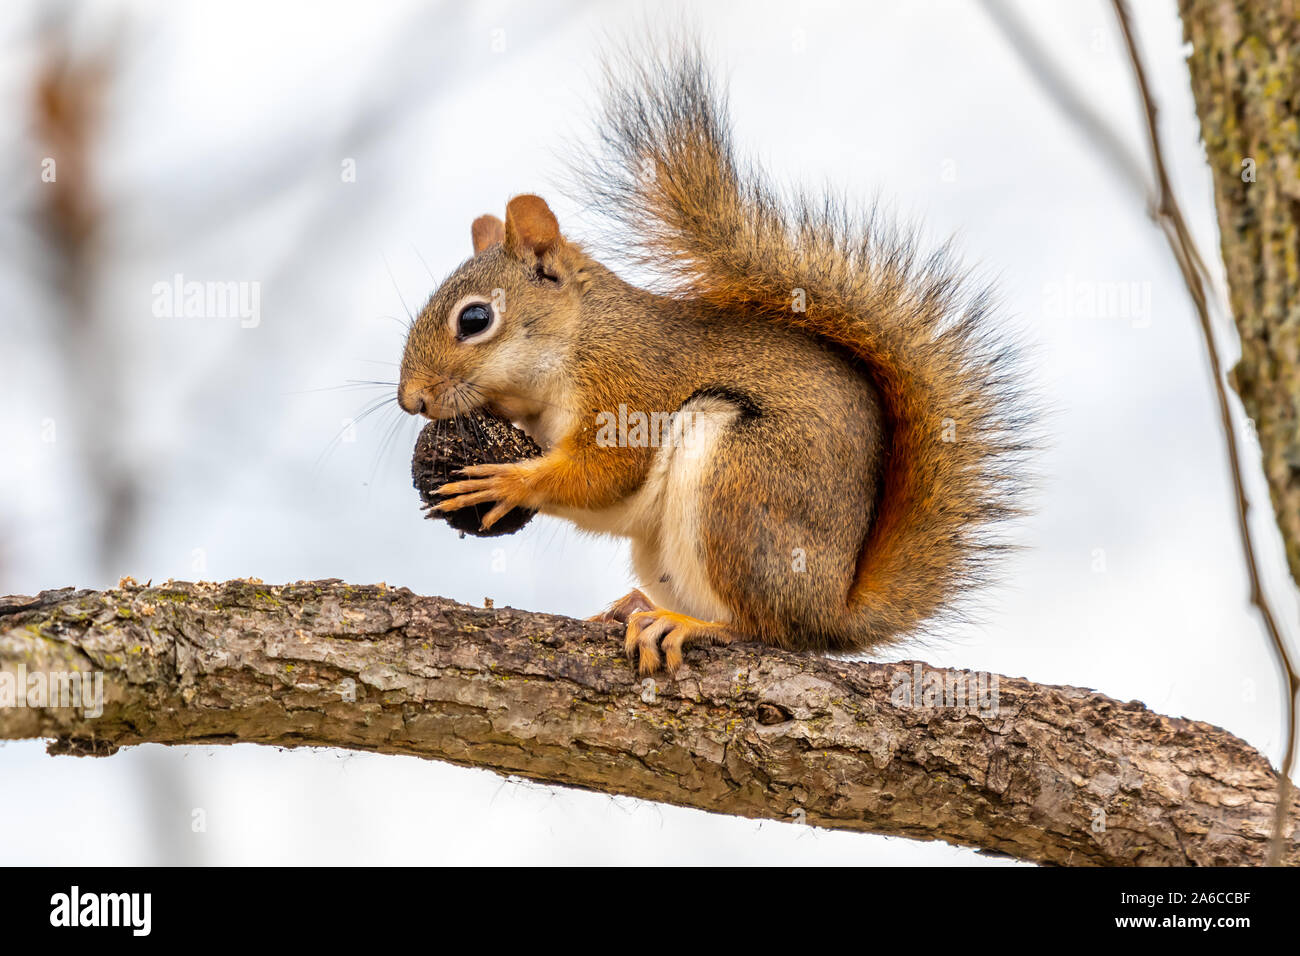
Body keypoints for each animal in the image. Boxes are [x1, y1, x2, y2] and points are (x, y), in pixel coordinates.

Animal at [390, 42, 1029, 671]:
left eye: (475, 319)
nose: (410, 400)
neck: (578, 339)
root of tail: (832, 610)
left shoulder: (630, 383)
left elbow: (607, 470)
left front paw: (507, 482)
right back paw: (634, 606)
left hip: (739, 481)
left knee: (766, 630)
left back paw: (690, 625)